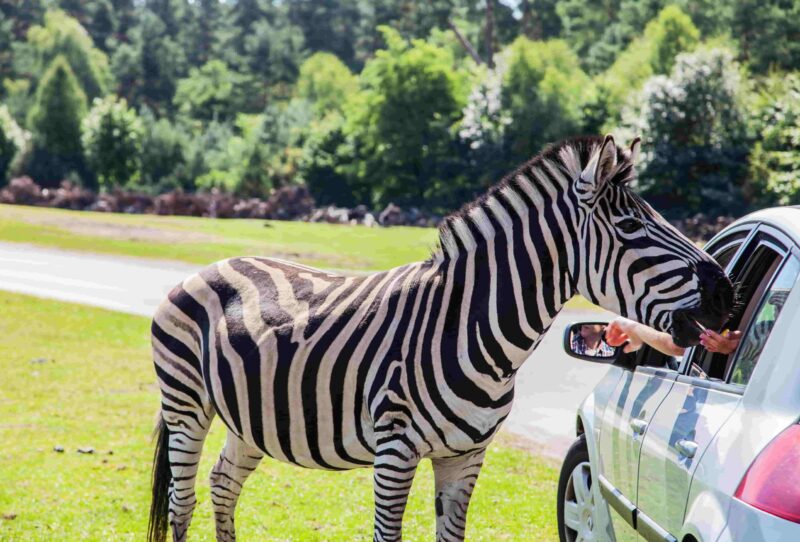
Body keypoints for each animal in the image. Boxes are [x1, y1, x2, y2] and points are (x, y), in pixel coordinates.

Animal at [147, 136, 736, 542]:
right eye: (632, 228)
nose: (726, 289)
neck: (472, 329)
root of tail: (210, 266)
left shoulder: (467, 455)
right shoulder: (395, 449)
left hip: (251, 419)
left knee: (223, 484)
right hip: (186, 404)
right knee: (183, 499)